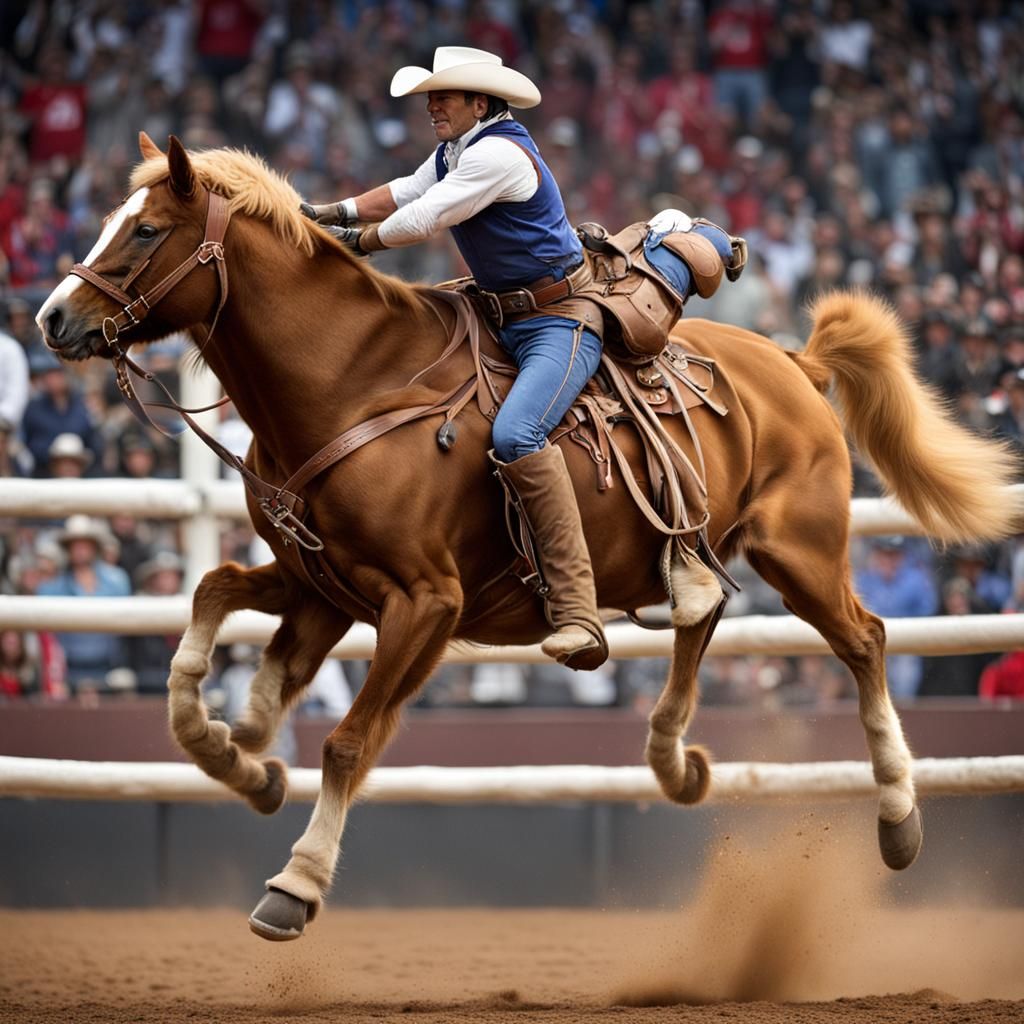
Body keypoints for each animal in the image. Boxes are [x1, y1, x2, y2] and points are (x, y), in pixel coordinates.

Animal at [36, 134, 1019, 941]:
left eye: (146, 230)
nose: (51, 319)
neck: (354, 383)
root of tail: (793, 362)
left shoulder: (424, 604)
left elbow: (349, 741)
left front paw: (295, 885)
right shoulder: (322, 582)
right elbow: (221, 616)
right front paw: (238, 761)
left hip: (801, 551)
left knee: (865, 640)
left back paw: (898, 821)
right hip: (704, 544)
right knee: (702, 616)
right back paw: (674, 760)